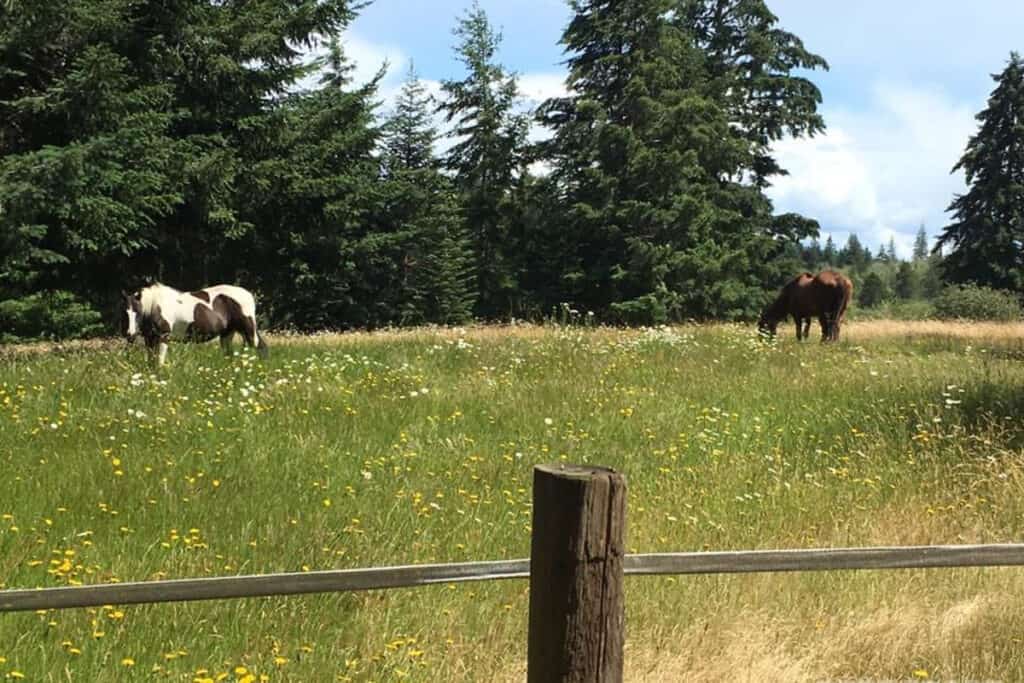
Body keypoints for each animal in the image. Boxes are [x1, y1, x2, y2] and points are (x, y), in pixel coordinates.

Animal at [120, 282, 268, 366]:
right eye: (125, 312)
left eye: (138, 312)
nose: (130, 334)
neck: (155, 306)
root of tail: (248, 294)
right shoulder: (149, 339)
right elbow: (151, 363)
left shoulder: (163, 337)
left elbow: (159, 363)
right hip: (227, 334)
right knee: (229, 355)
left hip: (248, 329)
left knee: (260, 348)